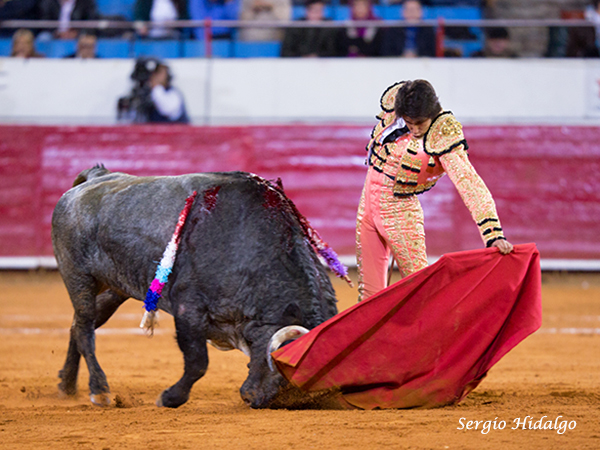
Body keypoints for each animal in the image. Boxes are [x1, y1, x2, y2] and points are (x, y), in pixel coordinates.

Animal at [51, 167, 338, 410]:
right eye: (281, 369)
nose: (256, 399)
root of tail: (96, 177)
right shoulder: (188, 308)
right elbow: (198, 361)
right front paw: (169, 398)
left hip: (114, 287)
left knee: (78, 325)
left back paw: (67, 385)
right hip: (78, 276)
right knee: (85, 328)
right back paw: (99, 390)